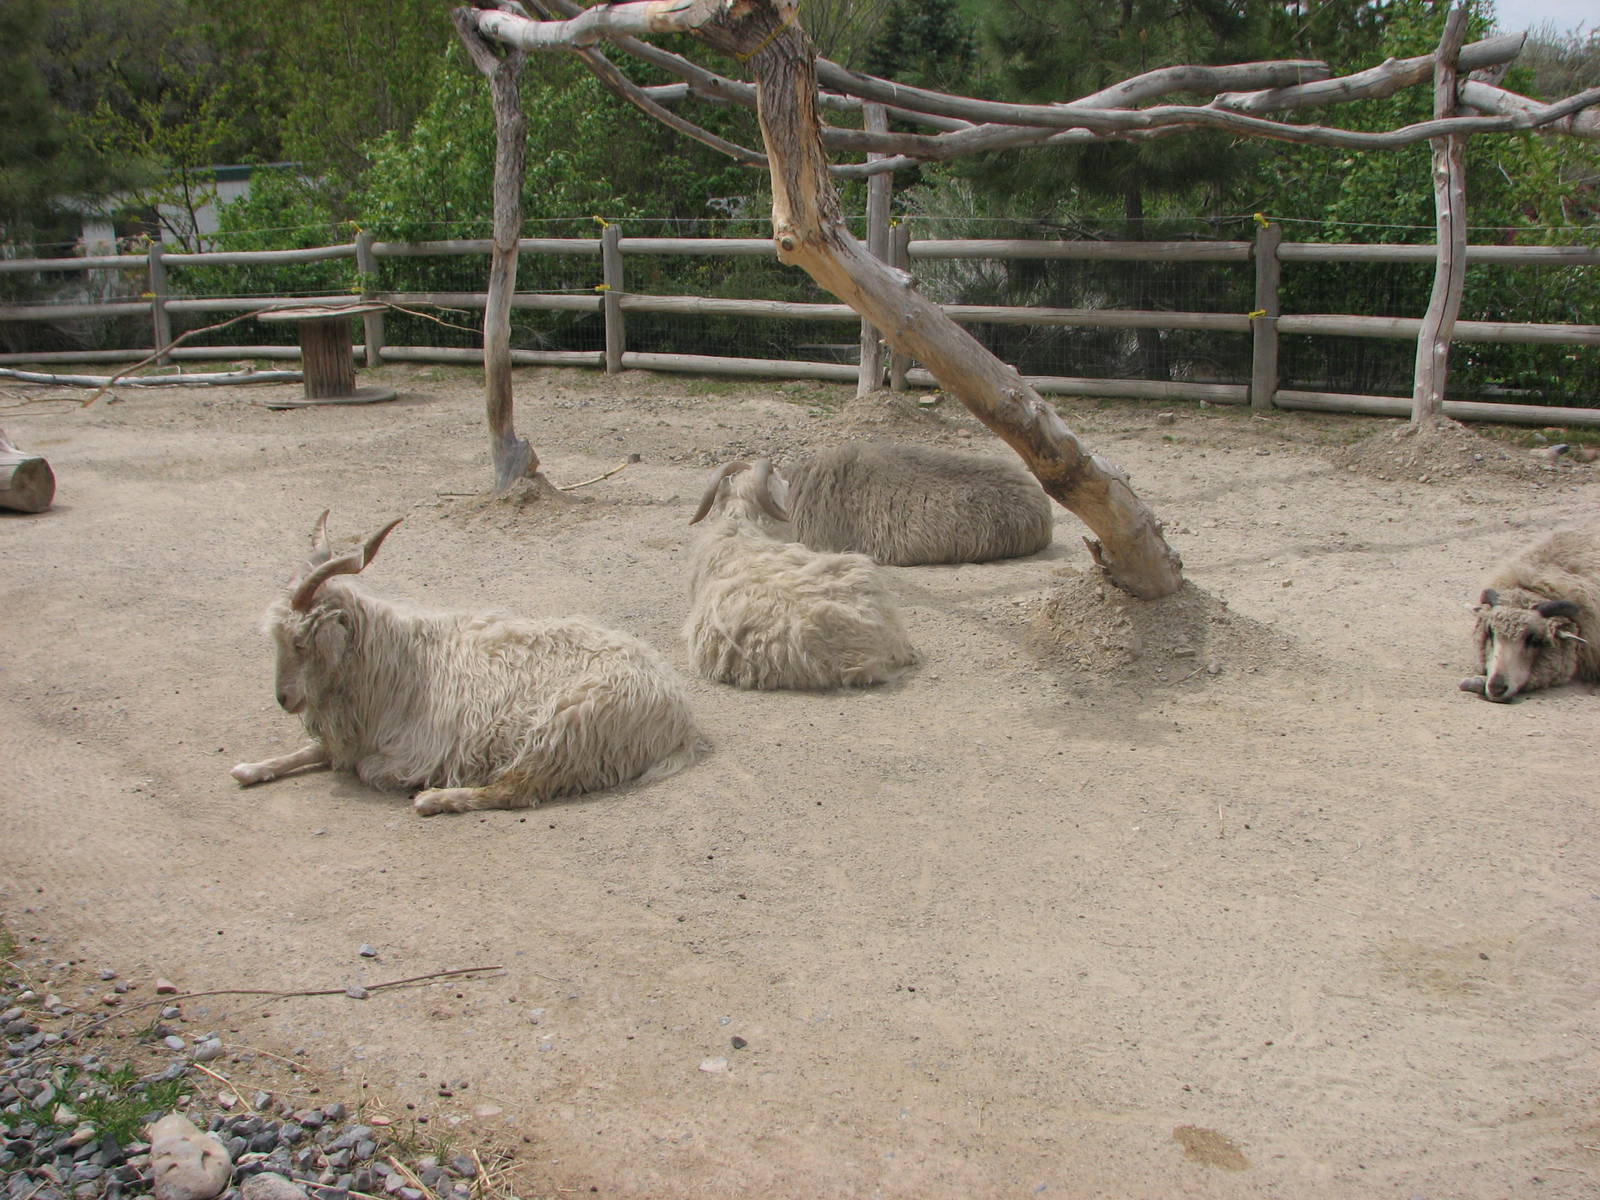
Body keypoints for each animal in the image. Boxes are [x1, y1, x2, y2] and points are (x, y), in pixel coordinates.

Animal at [232, 513, 705, 814]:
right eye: (276, 640)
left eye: (300, 641)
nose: (284, 698)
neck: (395, 661)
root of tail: (677, 710)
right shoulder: (353, 736)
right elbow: (314, 750)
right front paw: (251, 768)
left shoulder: (412, 748)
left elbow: (364, 767)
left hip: (564, 729)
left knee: (516, 791)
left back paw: (436, 800)